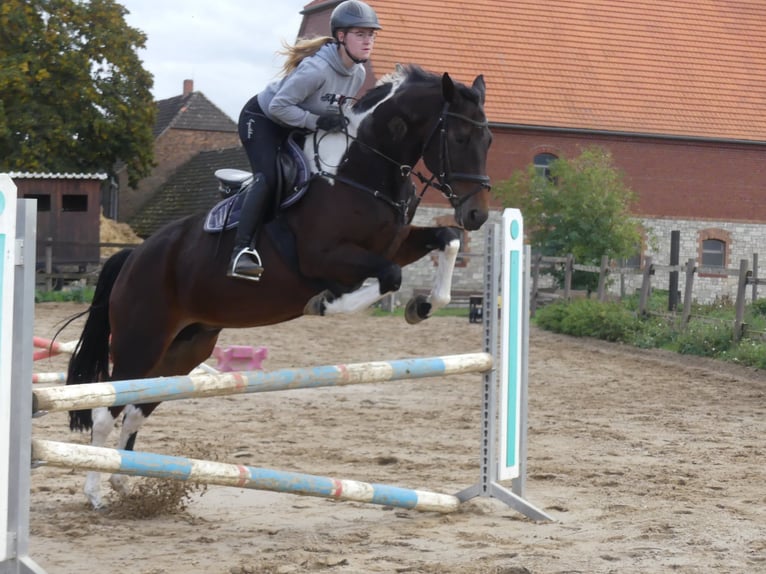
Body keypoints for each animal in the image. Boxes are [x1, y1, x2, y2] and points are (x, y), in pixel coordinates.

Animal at [64, 64, 493, 509]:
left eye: (489, 139)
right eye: (459, 138)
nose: (477, 214)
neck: (361, 171)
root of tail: (133, 256)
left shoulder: (397, 242)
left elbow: (447, 240)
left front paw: (423, 306)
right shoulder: (323, 256)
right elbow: (389, 276)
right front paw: (324, 303)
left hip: (185, 347)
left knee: (136, 408)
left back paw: (122, 480)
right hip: (141, 341)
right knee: (106, 410)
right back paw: (95, 492)